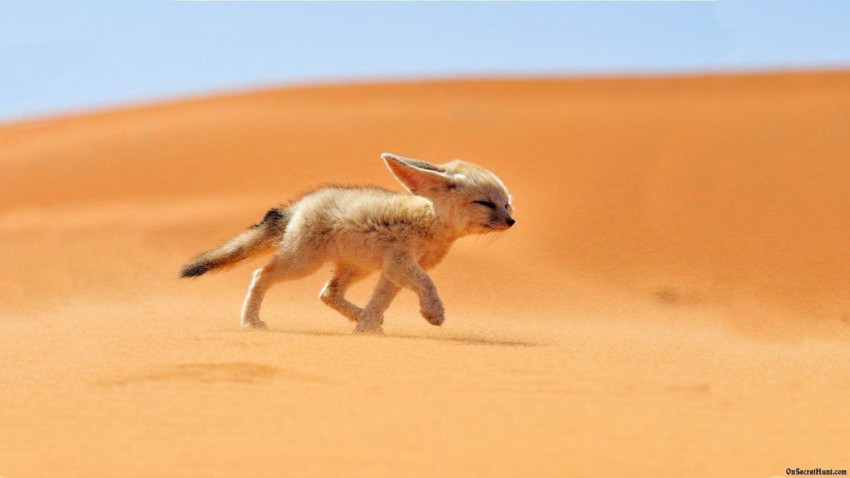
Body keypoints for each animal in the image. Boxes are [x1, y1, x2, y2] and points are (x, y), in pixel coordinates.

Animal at [179, 153, 515, 334]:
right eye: (485, 203)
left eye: (507, 204)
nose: (511, 221)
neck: (430, 222)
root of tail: (299, 204)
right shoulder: (401, 263)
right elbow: (427, 283)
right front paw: (433, 313)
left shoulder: (392, 270)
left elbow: (381, 300)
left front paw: (367, 328)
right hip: (302, 264)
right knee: (261, 274)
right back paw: (250, 321)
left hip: (356, 268)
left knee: (328, 293)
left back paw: (360, 316)